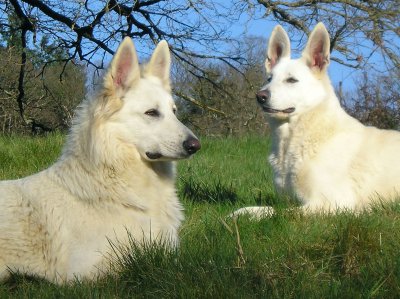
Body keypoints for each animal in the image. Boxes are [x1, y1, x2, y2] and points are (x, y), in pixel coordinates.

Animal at [0, 37, 200, 284]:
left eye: (174, 111)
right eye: (152, 113)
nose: (195, 145)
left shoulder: (170, 250)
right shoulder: (84, 271)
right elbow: (133, 263)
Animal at [233, 22, 400, 218]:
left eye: (291, 80)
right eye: (269, 78)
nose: (260, 96)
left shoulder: (334, 202)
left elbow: (280, 212)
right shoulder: (285, 198)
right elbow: (267, 206)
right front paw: (242, 212)